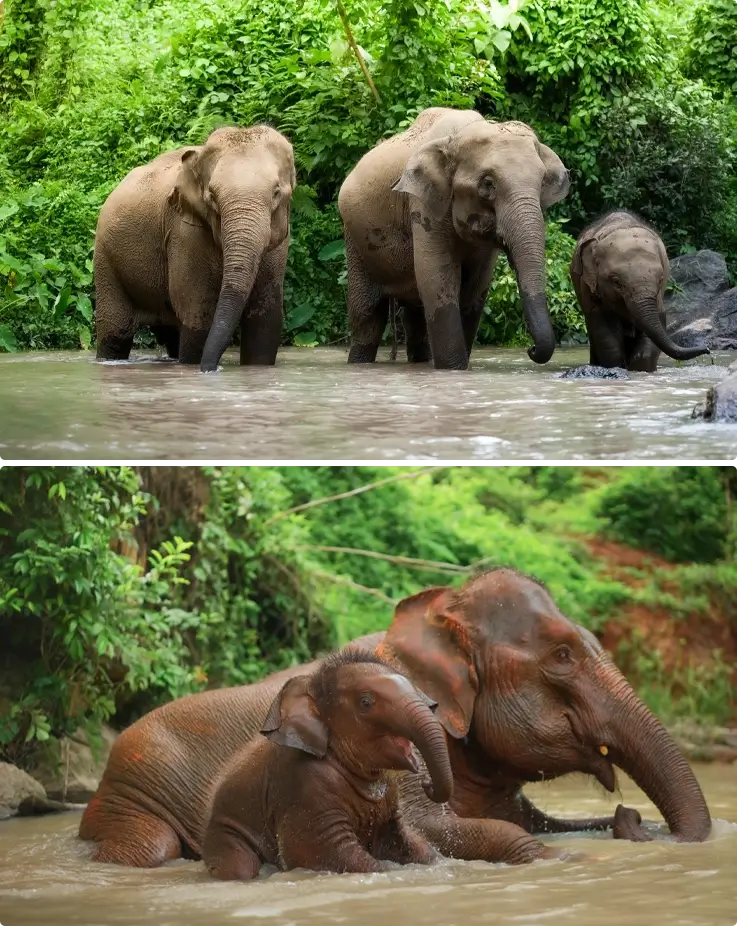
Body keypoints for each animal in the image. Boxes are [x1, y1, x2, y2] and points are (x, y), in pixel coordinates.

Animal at [93, 125, 296, 372]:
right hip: (105, 257)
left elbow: (265, 322)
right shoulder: (184, 233)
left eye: (276, 192)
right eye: (212, 197)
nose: (211, 369)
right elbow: (198, 313)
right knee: (115, 333)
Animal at [202, 650, 452, 880]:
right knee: (241, 868)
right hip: (225, 832)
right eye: (366, 702)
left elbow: (414, 847)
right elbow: (322, 852)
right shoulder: (305, 787)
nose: (427, 783)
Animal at [337, 107, 570, 370]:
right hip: (355, 240)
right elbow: (436, 278)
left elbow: (475, 290)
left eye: (542, 183)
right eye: (487, 184)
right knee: (367, 316)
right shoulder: (424, 206)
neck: (458, 136)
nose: (530, 349)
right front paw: (453, 369)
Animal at [570, 211, 710, 371]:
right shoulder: (590, 288)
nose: (707, 349)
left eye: (661, 279)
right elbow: (606, 332)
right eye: (616, 281)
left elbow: (654, 328)